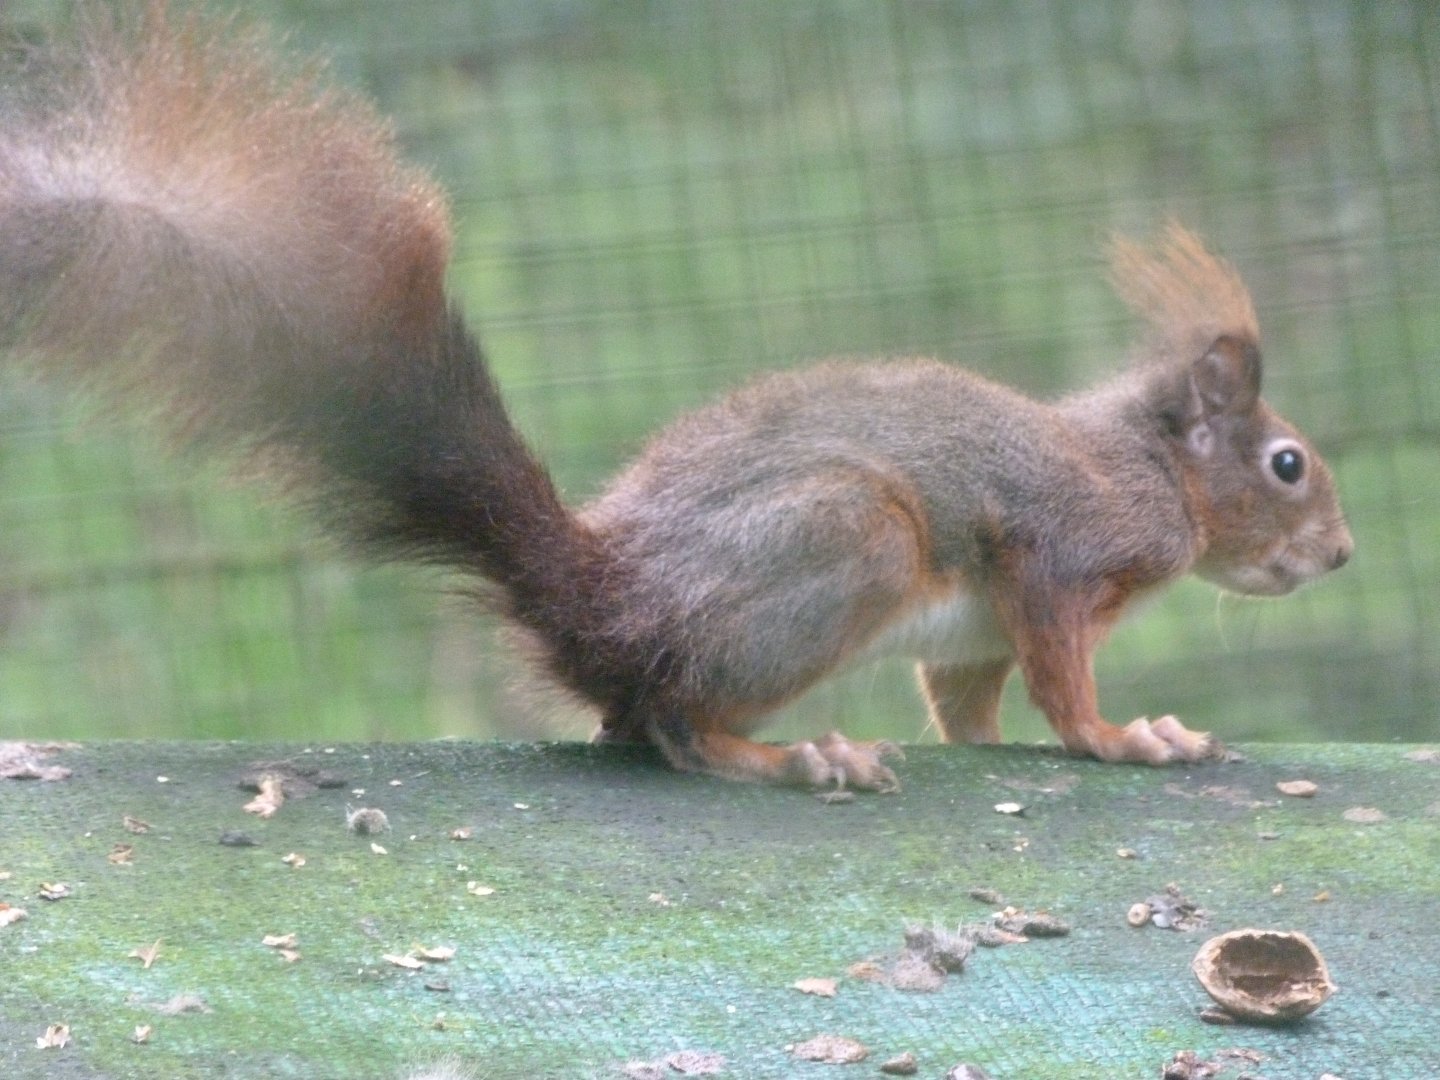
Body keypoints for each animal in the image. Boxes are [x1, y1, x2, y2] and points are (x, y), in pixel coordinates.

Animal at [0, 3, 1353, 790]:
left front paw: (1002, 742)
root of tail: (600, 599)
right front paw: (1126, 739)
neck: (1150, 461)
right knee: (672, 723)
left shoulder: (976, 633)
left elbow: (968, 703)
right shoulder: (1065, 554)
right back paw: (792, 756)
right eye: (1286, 462)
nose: (1342, 555)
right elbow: (1063, 679)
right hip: (848, 540)